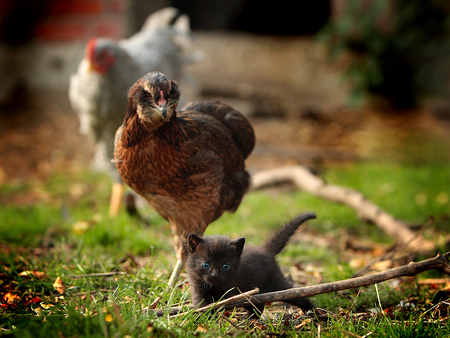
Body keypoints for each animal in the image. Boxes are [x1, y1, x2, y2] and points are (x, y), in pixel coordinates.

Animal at [185, 213, 314, 316]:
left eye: (225, 266)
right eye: (206, 265)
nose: (215, 274)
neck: (213, 286)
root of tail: (266, 251)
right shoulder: (197, 285)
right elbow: (201, 302)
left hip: (276, 283)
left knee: (296, 295)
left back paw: (312, 312)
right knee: (258, 307)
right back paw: (249, 318)